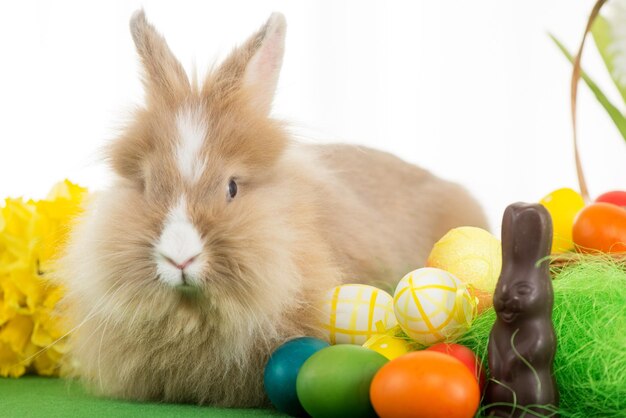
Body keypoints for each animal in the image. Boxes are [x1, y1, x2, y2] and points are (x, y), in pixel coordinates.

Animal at [486, 202, 560, 414]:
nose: (503, 298)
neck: (514, 323)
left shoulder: (542, 336)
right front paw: (498, 369)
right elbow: (493, 351)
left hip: (535, 396)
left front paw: (508, 370)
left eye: (524, 290)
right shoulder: (494, 333)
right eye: (498, 287)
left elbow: (527, 353)